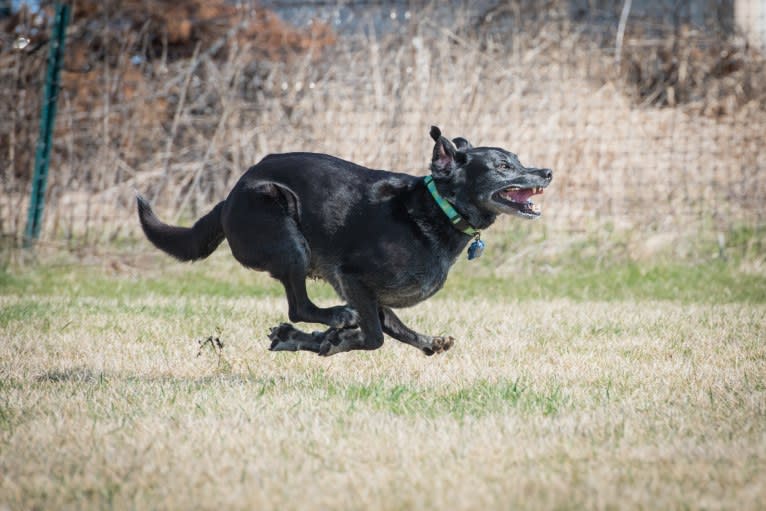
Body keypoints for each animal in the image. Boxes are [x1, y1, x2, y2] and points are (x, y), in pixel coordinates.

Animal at [135, 126, 548, 356]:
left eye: (517, 160)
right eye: (503, 167)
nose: (547, 171)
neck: (438, 208)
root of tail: (229, 198)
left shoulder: (367, 294)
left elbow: (390, 326)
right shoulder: (351, 277)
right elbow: (375, 337)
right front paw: (333, 339)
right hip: (288, 239)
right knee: (300, 306)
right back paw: (330, 321)